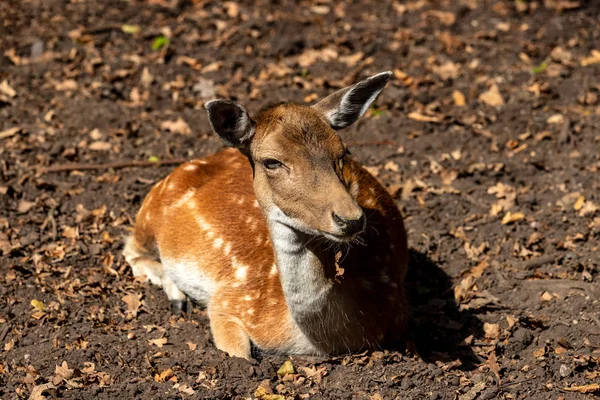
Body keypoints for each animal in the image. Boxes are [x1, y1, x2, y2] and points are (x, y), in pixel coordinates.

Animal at [122, 72, 408, 360]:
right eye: (272, 161)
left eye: (344, 151)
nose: (350, 218)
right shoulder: (227, 301)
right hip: (151, 210)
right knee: (130, 248)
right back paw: (177, 297)